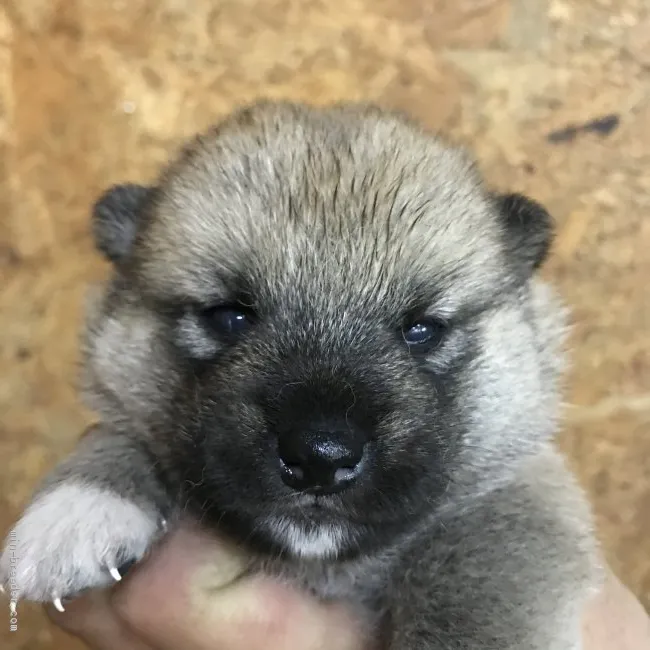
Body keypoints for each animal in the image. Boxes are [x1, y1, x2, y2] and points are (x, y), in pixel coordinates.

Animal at [0, 102, 596, 648]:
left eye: (422, 329)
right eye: (229, 317)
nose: (320, 458)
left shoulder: (524, 496)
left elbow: (473, 580)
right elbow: (122, 433)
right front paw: (78, 505)